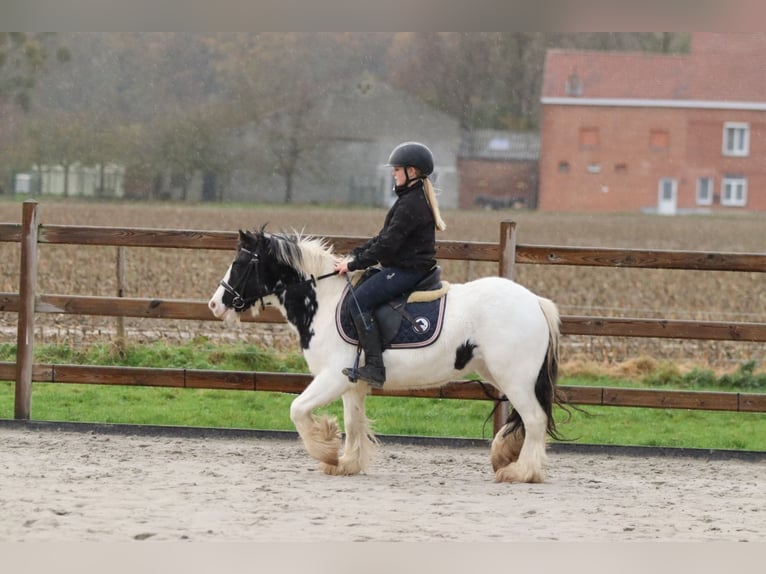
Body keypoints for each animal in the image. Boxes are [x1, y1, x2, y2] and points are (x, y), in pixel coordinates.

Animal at [208, 227, 567, 483]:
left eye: (240, 263)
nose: (214, 304)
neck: (325, 302)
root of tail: (536, 302)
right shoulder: (351, 383)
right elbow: (352, 422)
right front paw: (346, 463)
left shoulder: (331, 377)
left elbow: (297, 409)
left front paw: (326, 450)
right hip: (501, 375)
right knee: (525, 420)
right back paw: (507, 457)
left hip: (515, 378)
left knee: (534, 420)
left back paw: (522, 472)